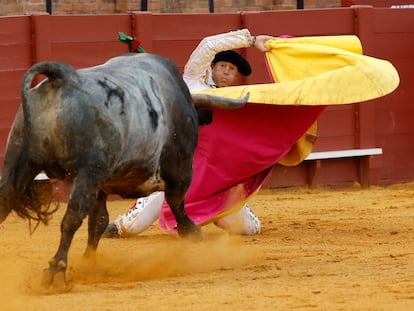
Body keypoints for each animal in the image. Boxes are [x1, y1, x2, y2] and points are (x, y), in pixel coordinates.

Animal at [0, 53, 247, 288]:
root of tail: (63, 77)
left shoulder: (101, 187)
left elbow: (98, 222)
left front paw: (89, 263)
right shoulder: (181, 167)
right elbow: (177, 202)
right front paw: (191, 232)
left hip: (18, 160)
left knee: (5, 202)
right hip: (89, 171)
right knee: (72, 217)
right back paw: (56, 271)